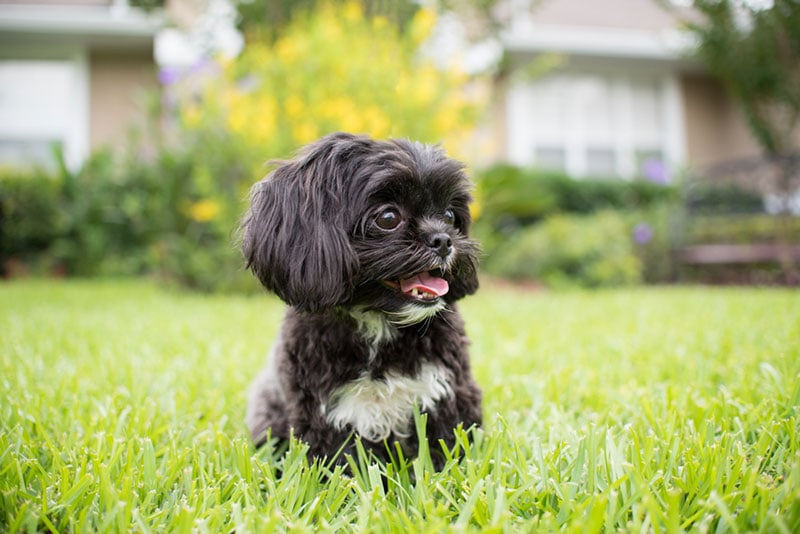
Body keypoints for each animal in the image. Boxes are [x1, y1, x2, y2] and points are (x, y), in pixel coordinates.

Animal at [242, 132, 482, 466]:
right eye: (388, 217)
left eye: (449, 215)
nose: (444, 240)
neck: (379, 320)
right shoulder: (326, 415)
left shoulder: (448, 396)